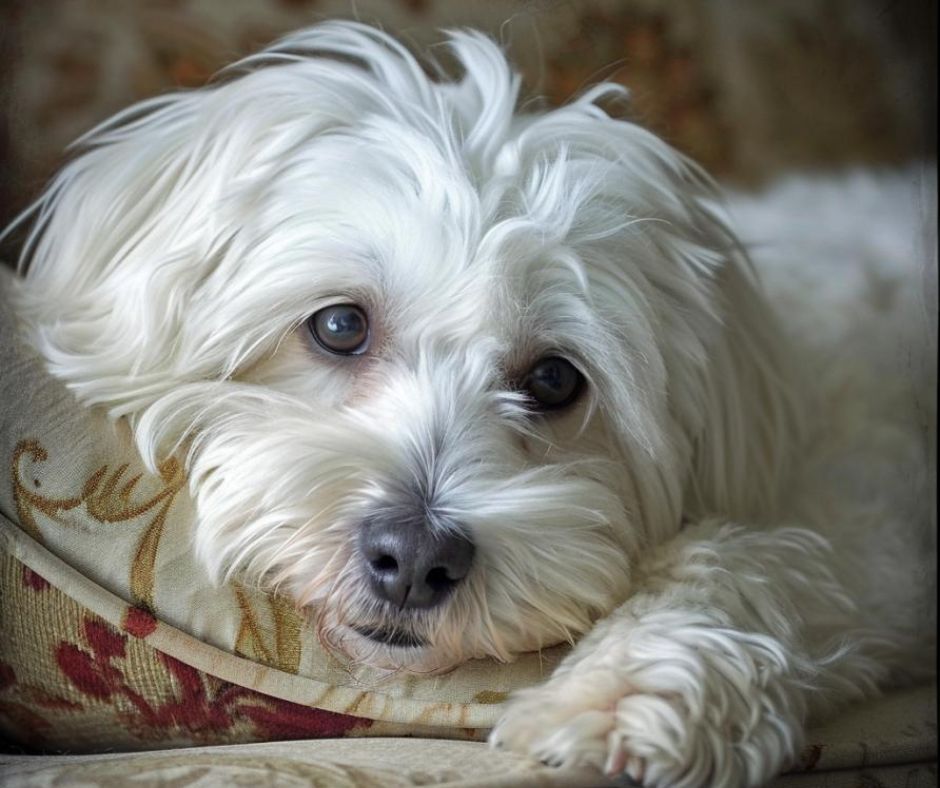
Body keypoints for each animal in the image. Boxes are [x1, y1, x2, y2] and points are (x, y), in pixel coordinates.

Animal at [7, 23, 932, 788]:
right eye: (339, 325)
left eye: (555, 381)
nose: (416, 558)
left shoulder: (871, 532)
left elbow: (747, 559)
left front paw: (628, 696)